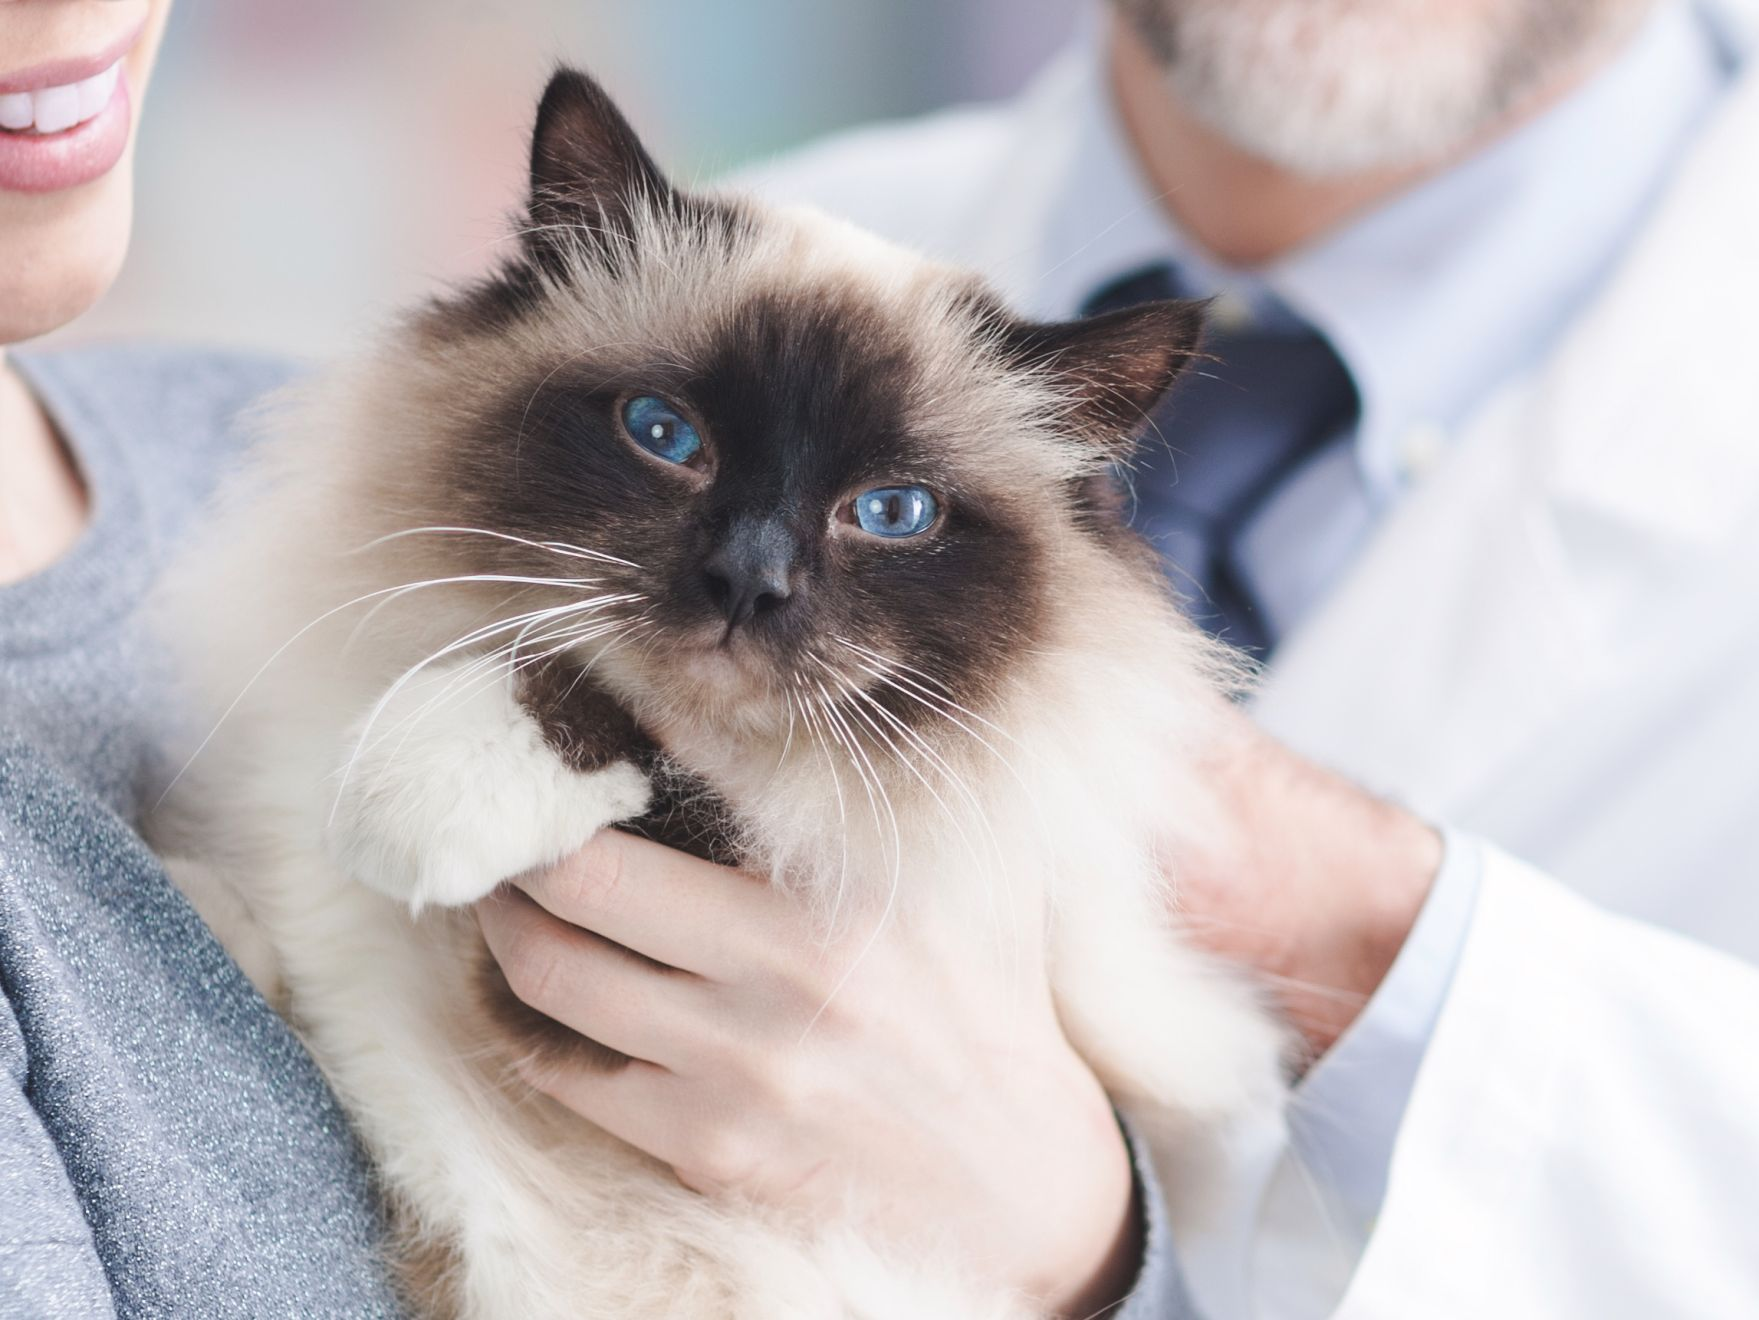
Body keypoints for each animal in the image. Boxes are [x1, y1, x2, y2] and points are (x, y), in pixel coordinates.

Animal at [151, 69, 1287, 1320]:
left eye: (891, 513)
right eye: (664, 434)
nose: (750, 580)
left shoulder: (839, 862)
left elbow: (665, 765)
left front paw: (402, 813)